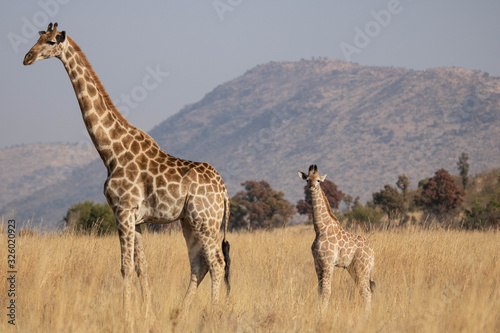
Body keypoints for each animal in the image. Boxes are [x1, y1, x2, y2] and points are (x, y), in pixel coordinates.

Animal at [24, 22, 231, 322]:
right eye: (38, 38)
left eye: (51, 42)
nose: (27, 57)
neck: (110, 151)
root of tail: (225, 191)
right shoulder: (137, 217)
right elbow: (142, 266)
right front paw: (148, 315)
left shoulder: (122, 210)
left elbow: (125, 267)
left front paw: (127, 316)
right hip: (189, 222)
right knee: (199, 265)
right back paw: (179, 312)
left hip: (205, 220)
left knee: (216, 263)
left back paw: (212, 314)